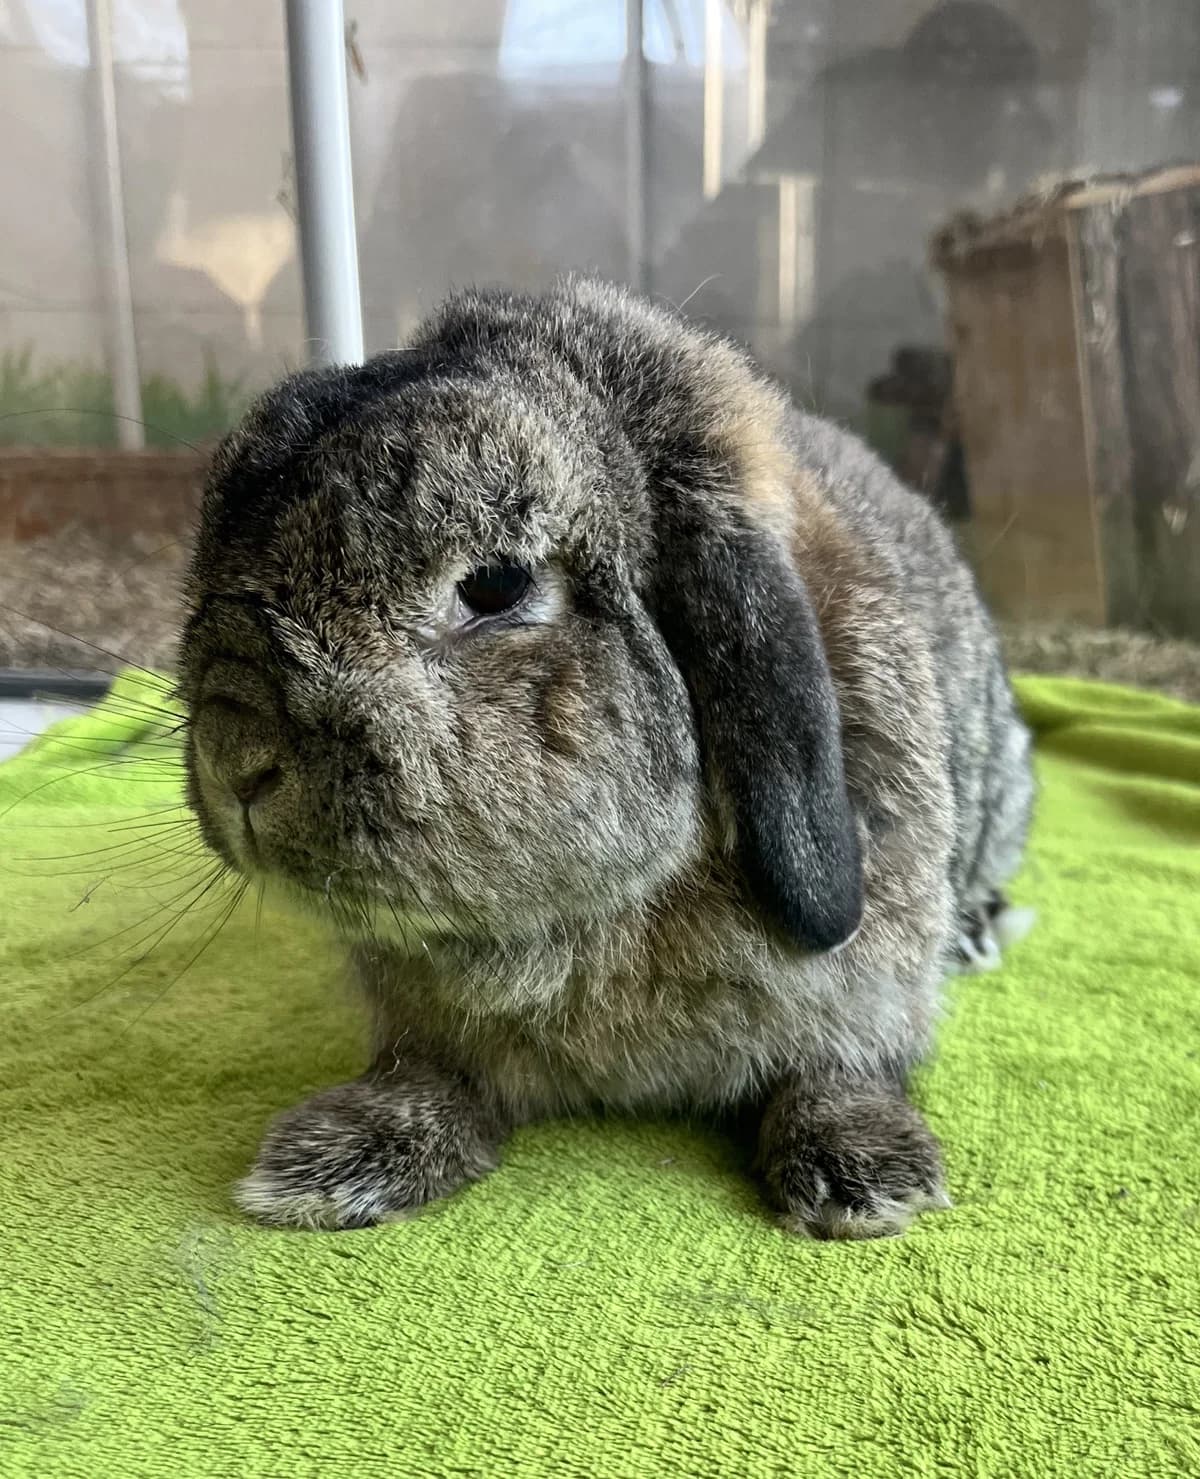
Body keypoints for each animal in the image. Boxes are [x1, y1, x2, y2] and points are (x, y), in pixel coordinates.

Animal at [179, 277, 1034, 1239]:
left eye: (495, 586)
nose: (234, 756)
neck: (590, 921)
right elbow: (434, 1078)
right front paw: (337, 1160)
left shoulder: (869, 989)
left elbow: (839, 1069)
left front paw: (863, 1178)